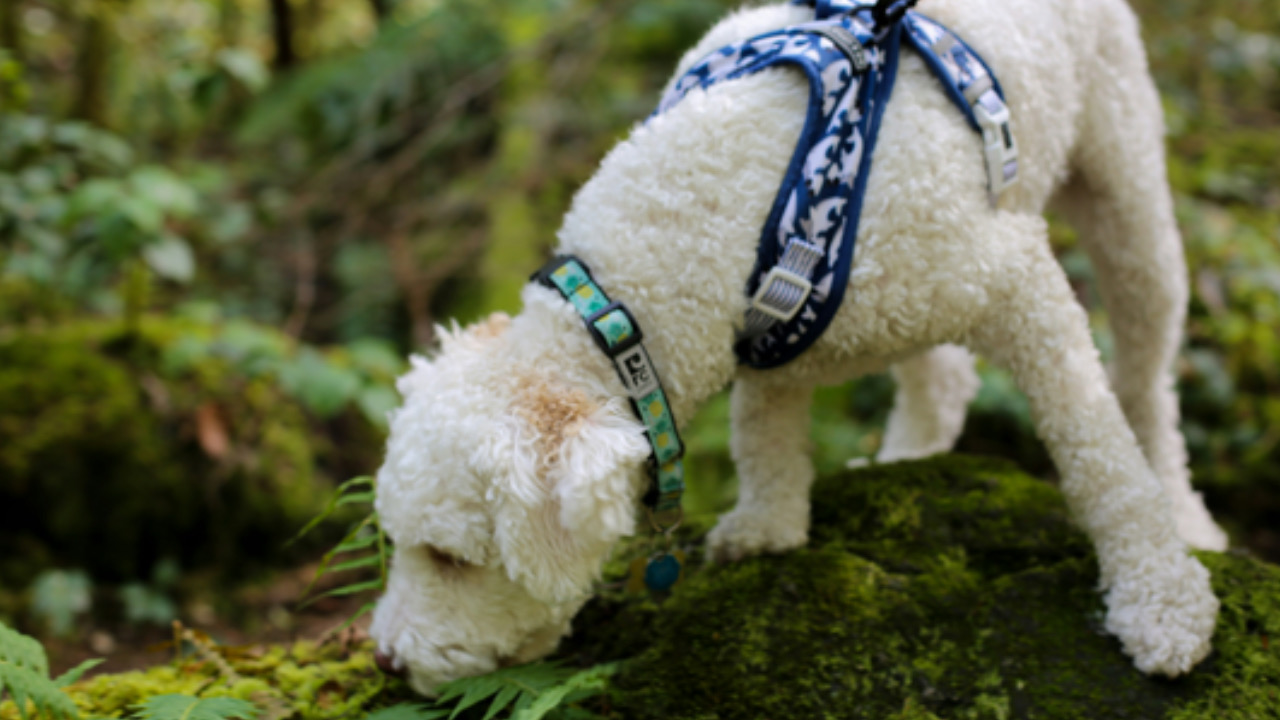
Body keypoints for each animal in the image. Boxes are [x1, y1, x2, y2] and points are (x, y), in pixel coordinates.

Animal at [368, 0, 1218, 696]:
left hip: (1126, 188)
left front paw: (1159, 598)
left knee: (1145, 379)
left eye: (451, 558)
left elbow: (1100, 454)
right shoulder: (764, 336)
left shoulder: (1017, 280)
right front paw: (768, 523)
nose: (385, 660)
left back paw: (1187, 519)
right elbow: (763, 431)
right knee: (941, 378)